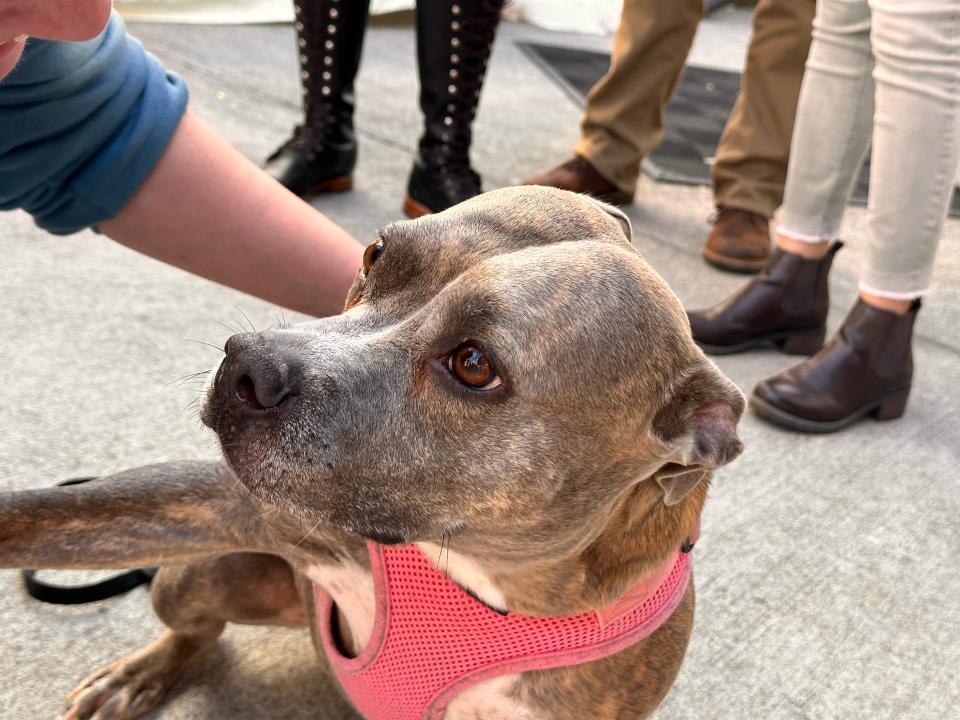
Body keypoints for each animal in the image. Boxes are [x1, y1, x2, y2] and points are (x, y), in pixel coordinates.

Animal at [0, 187, 748, 720]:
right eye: (374, 256)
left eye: (474, 364)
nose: (247, 365)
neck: (491, 589)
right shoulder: (233, 509)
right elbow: (39, 516)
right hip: (199, 573)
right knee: (197, 630)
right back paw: (141, 673)